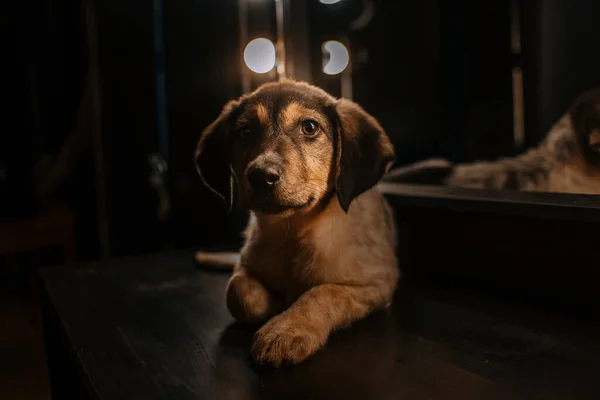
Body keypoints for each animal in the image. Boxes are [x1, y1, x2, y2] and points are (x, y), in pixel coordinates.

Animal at [192, 79, 398, 368]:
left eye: (309, 127)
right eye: (246, 130)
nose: (261, 175)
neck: (292, 231)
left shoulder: (377, 282)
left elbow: (322, 292)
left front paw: (286, 330)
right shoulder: (245, 264)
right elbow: (238, 292)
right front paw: (274, 305)